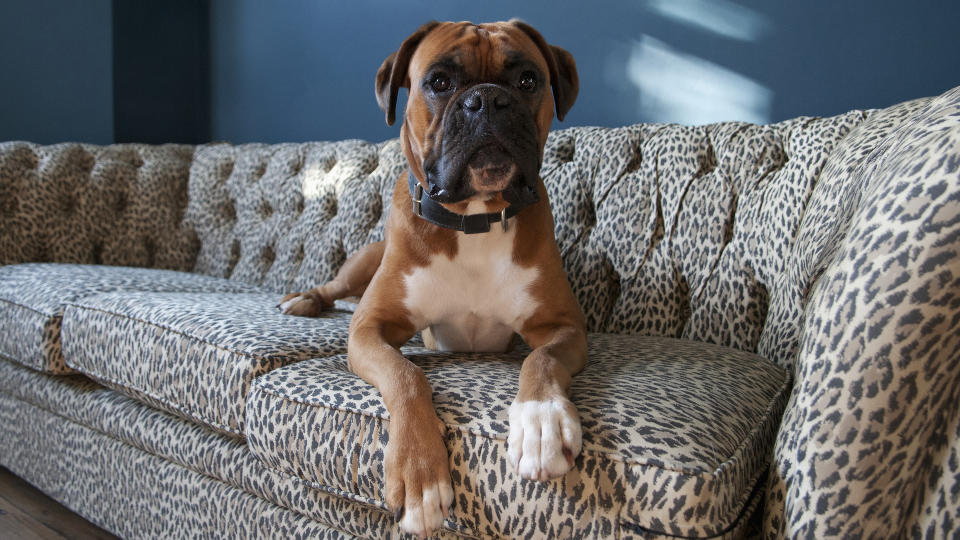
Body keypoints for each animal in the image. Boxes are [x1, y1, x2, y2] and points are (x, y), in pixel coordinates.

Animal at [278, 20, 584, 536]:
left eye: (527, 80)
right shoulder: (369, 330)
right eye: (439, 82)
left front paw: (541, 422)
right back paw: (304, 299)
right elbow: (406, 376)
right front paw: (418, 474)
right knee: (335, 288)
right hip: (363, 261)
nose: (487, 99)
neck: (476, 218)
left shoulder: (564, 328)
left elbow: (540, 360)